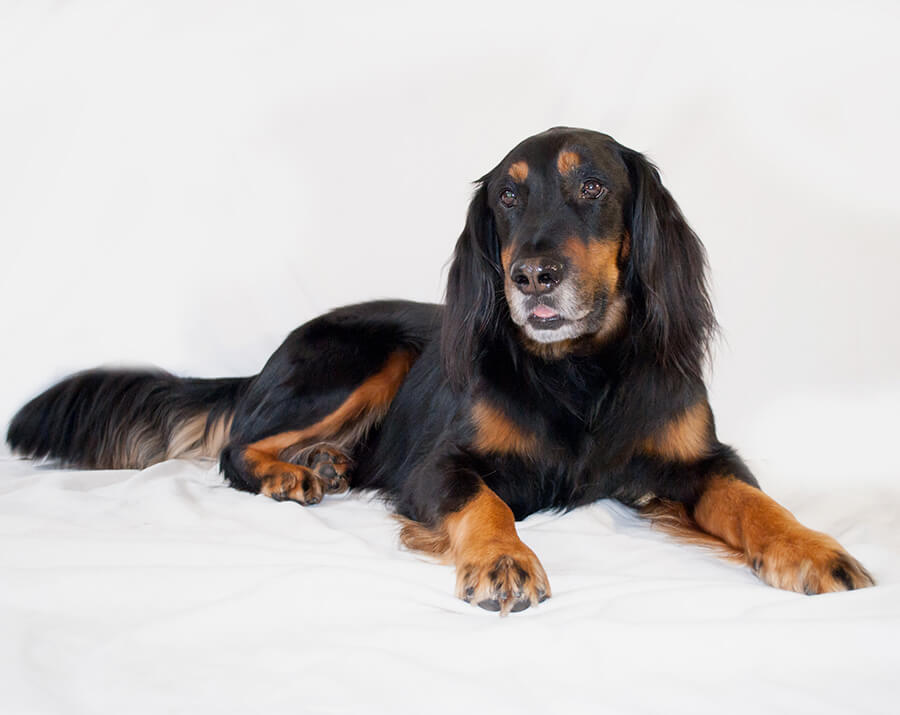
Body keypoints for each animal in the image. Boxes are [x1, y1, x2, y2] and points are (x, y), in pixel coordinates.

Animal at [7, 127, 874, 615]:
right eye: (507, 200)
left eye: (593, 185)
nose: (531, 276)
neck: (578, 372)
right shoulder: (434, 463)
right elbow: (483, 500)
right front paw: (503, 559)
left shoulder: (697, 459)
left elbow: (754, 501)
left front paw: (812, 549)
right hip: (365, 354)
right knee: (235, 446)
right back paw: (294, 471)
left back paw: (326, 461)